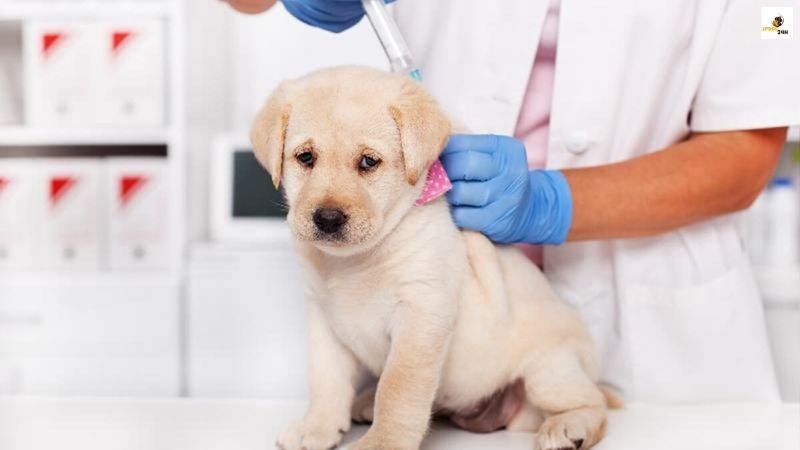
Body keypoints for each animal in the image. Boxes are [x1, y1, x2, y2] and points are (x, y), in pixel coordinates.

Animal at [253, 66, 608, 450]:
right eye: (305, 157)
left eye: (369, 162)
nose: (328, 218)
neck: (355, 260)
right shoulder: (323, 319)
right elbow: (325, 379)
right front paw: (317, 427)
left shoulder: (421, 311)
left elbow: (398, 387)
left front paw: (383, 442)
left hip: (548, 371)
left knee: (594, 402)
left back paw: (569, 427)